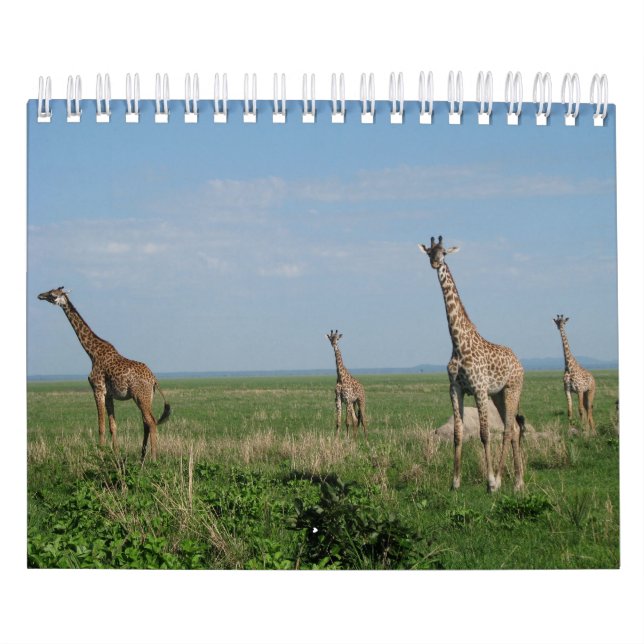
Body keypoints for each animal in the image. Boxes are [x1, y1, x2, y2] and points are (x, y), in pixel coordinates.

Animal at [37, 287, 171, 460]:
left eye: (53, 295)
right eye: (49, 291)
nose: (40, 295)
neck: (92, 353)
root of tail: (154, 379)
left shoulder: (98, 389)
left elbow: (100, 425)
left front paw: (99, 454)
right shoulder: (109, 395)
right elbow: (113, 425)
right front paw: (115, 454)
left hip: (140, 396)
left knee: (151, 421)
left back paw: (153, 459)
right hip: (147, 397)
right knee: (146, 423)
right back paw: (142, 457)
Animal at [418, 236, 525, 492]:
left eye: (444, 252)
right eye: (429, 252)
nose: (435, 263)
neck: (458, 343)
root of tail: (518, 361)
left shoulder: (479, 389)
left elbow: (485, 434)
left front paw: (490, 481)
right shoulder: (455, 388)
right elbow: (458, 433)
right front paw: (455, 481)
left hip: (512, 389)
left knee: (508, 430)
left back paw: (502, 480)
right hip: (498, 395)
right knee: (515, 429)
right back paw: (518, 481)